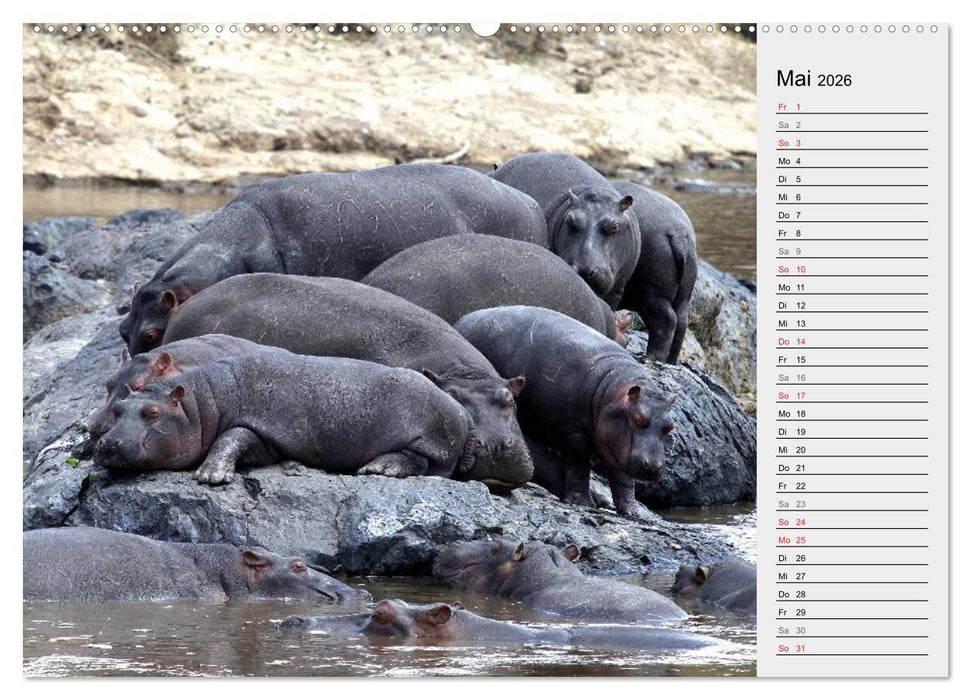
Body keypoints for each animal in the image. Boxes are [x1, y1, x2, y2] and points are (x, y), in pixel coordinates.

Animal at [93, 350, 475, 485]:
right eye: (118, 408)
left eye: (153, 412)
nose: (108, 443)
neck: (199, 405)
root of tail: (461, 410)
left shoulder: (259, 426)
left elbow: (230, 437)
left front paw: (210, 476)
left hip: (431, 439)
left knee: (420, 462)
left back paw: (378, 468)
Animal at [455, 306, 675, 515]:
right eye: (638, 419)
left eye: (670, 426)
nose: (653, 466)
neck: (610, 390)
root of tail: (464, 319)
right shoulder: (573, 432)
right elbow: (578, 466)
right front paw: (582, 502)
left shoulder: (620, 447)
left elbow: (624, 478)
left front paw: (633, 512)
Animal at [612, 180, 698, 364]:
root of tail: (679, 233)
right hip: (682, 296)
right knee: (681, 323)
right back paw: (670, 360)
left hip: (652, 295)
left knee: (666, 321)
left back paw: (650, 358)